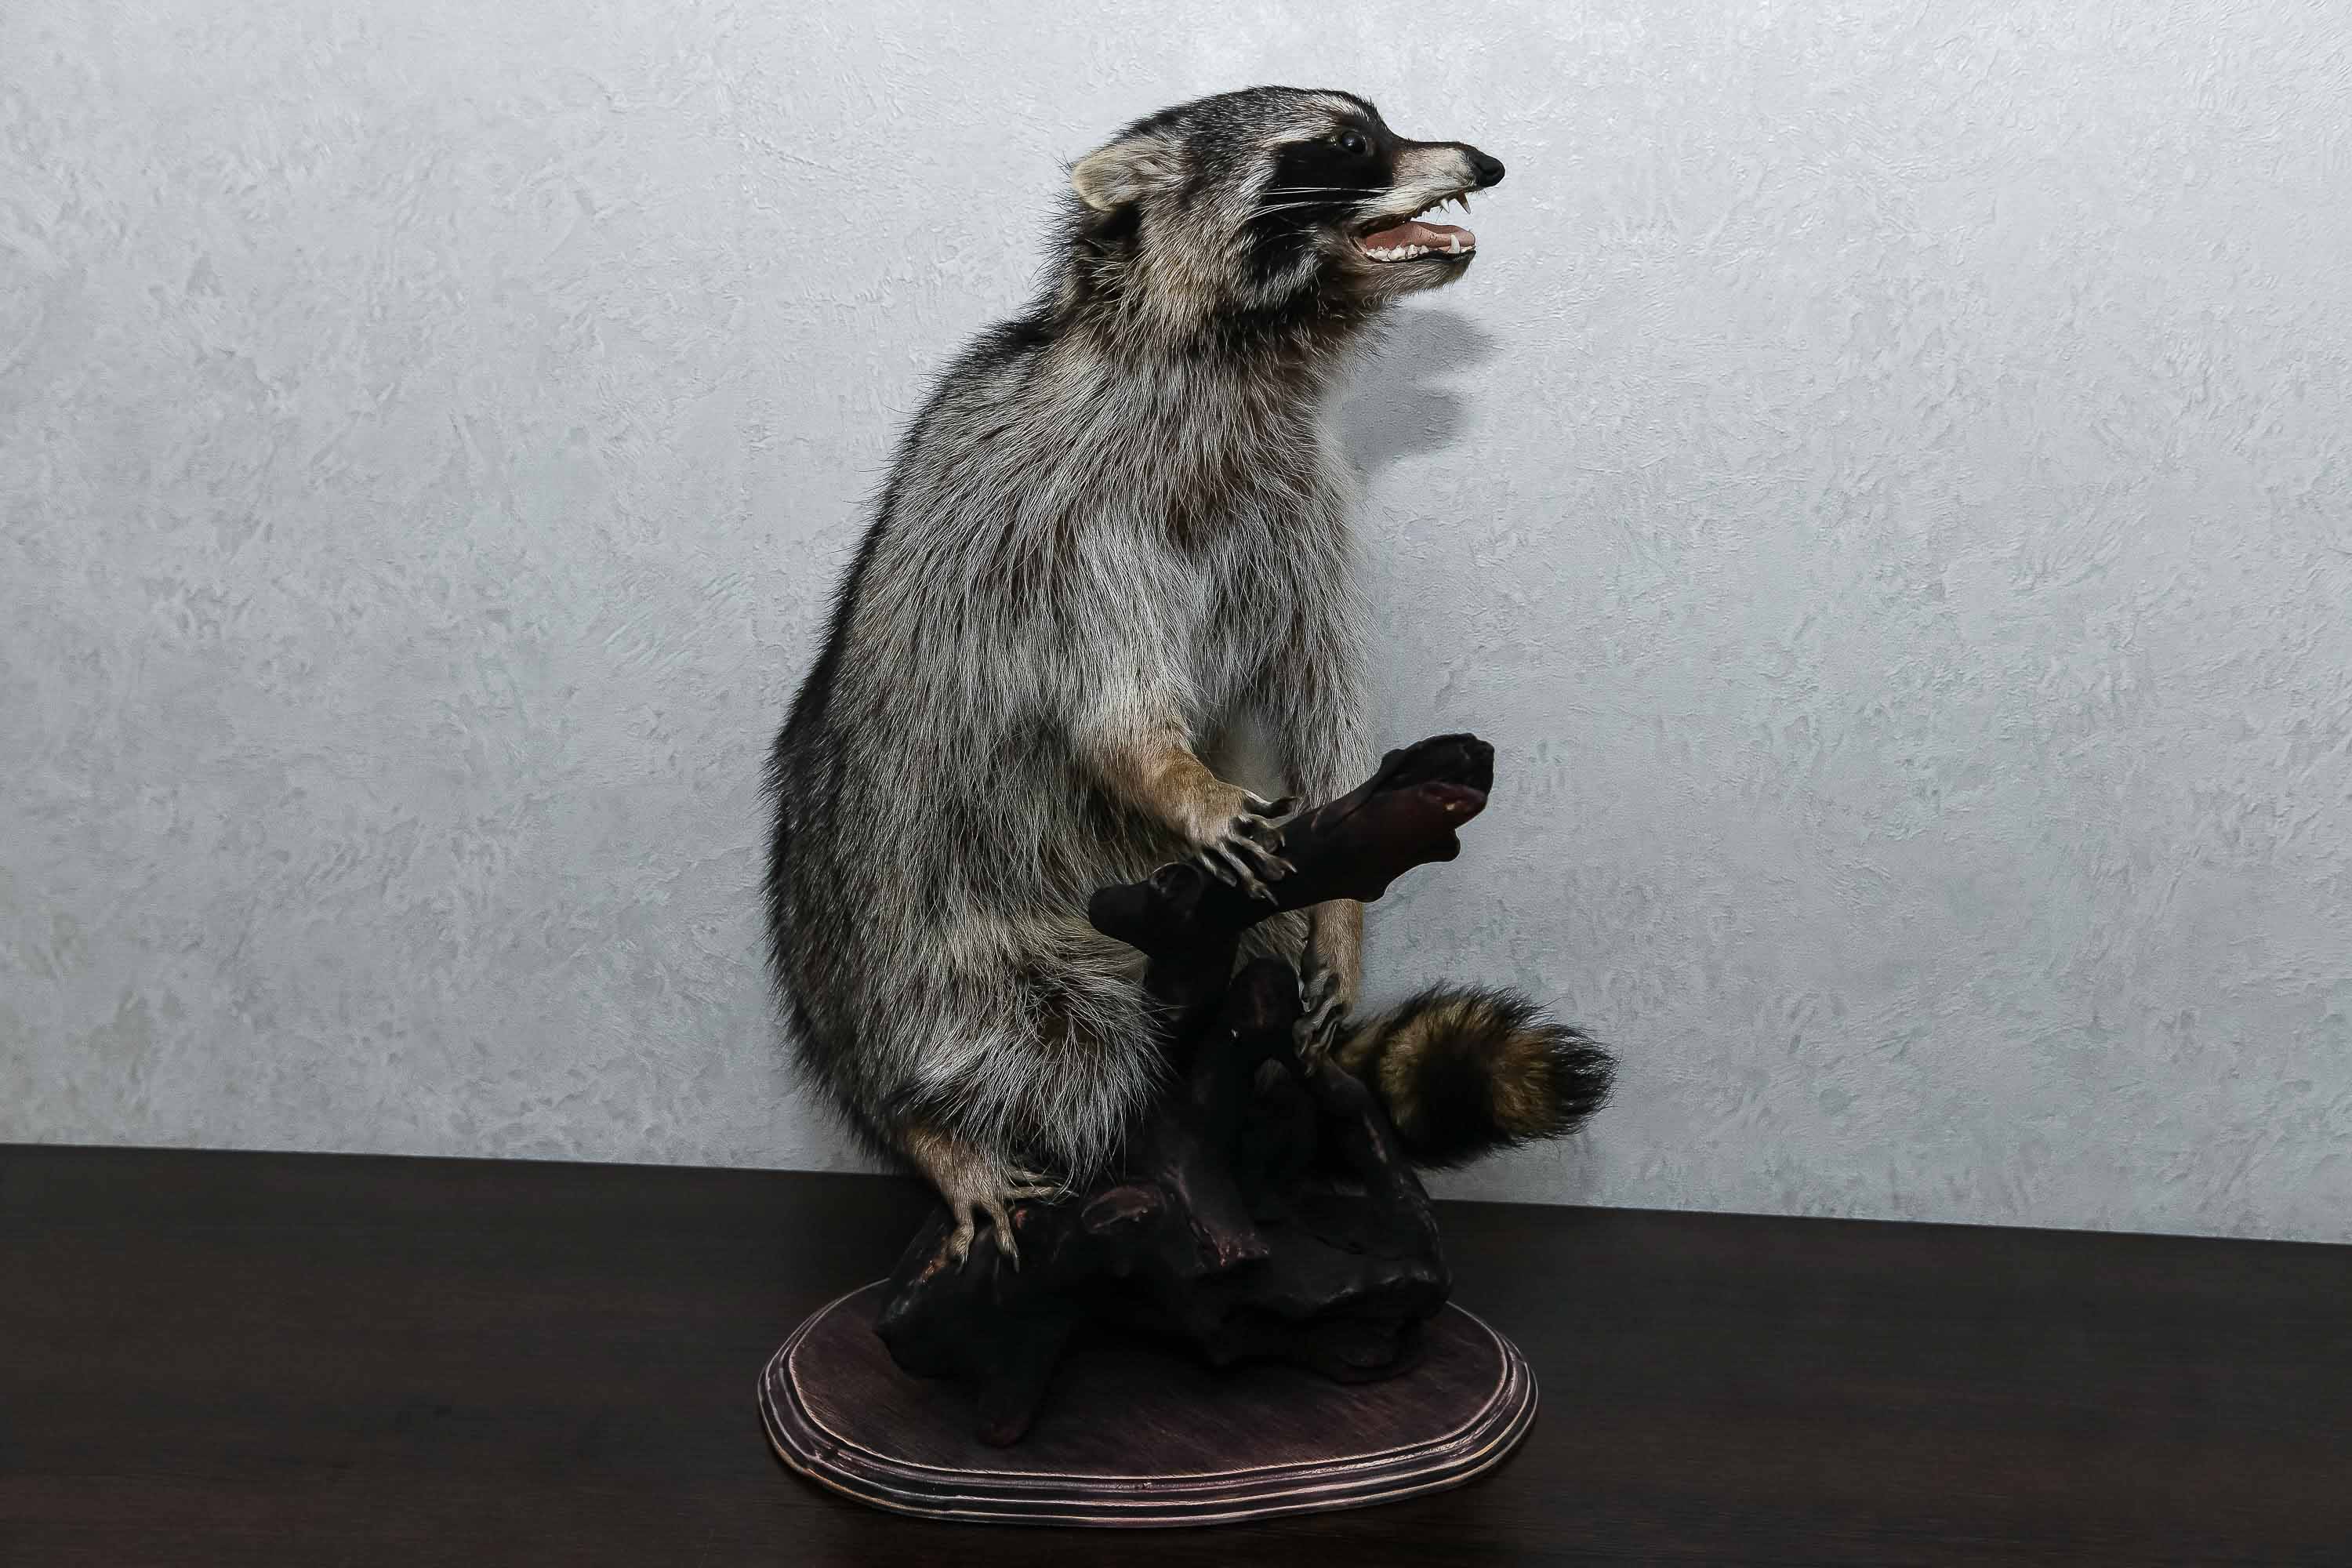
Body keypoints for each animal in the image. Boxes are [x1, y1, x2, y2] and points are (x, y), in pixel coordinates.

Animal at [766, 87, 1609, 1261]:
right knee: (1029, 1043)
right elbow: (1111, 710)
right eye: (1348, 143)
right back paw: (936, 1133)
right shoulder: (1080, 519)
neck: (1247, 349)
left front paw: (1342, 918)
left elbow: (1322, 687)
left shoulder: (1301, 498)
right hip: (912, 929)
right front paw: (1181, 781)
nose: (1484, 163)